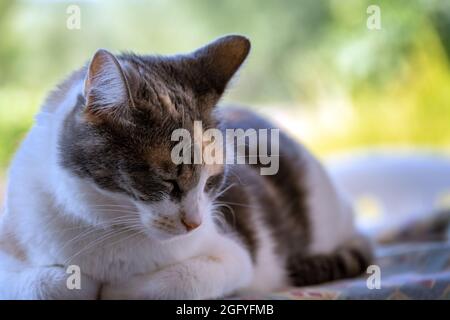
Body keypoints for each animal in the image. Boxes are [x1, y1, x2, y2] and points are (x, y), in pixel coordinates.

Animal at [0, 35, 372, 300]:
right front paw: (80, 283)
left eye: (211, 182)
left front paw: (116, 289)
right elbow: (48, 283)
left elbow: (177, 281)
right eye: (167, 181)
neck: (110, 226)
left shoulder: (237, 256)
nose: (195, 223)